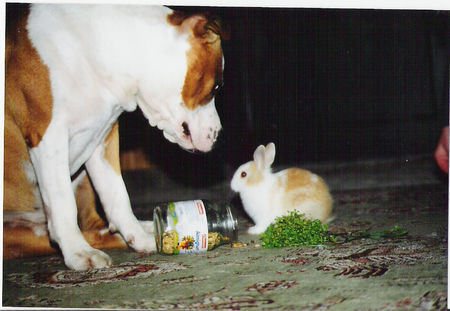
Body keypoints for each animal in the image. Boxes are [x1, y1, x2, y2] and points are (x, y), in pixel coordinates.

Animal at [4, 3, 225, 270]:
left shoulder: (103, 139)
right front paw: (78, 252)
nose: (219, 135)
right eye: (216, 87)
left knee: (96, 224)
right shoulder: (48, 138)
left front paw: (140, 238)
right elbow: (62, 203)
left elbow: (117, 195)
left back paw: (146, 228)